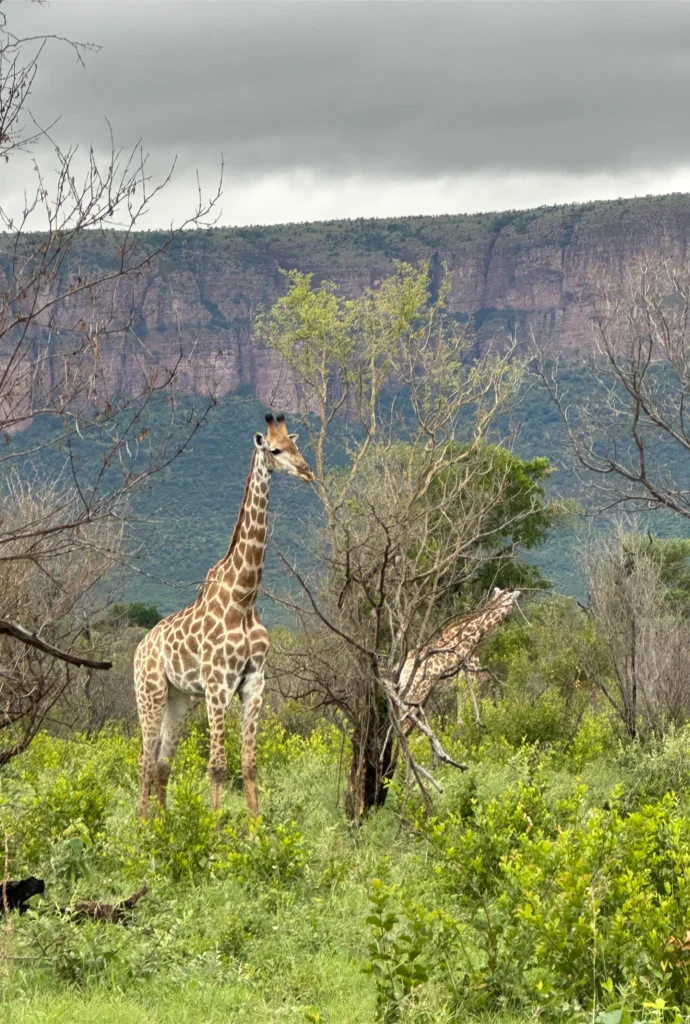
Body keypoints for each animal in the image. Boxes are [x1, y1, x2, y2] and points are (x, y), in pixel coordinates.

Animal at [134, 413, 314, 819]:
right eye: (275, 450)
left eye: (296, 445)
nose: (307, 472)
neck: (243, 598)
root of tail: (139, 648)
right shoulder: (218, 683)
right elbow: (217, 765)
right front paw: (216, 829)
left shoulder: (254, 682)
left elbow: (249, 763)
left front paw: (255, 827)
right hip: (149, 692)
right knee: (145, 760)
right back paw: (141, 824)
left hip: (179, 699)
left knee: (162, 762)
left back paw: (162, 824)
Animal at [396, 587, 520, 734]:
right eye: (511, 600)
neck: (475, 636)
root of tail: (405, 668)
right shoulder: (470, 678)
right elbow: (466, 718)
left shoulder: (458, 687)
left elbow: (459, 719)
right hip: (418, 691)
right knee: (404, 723)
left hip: (406, 691)